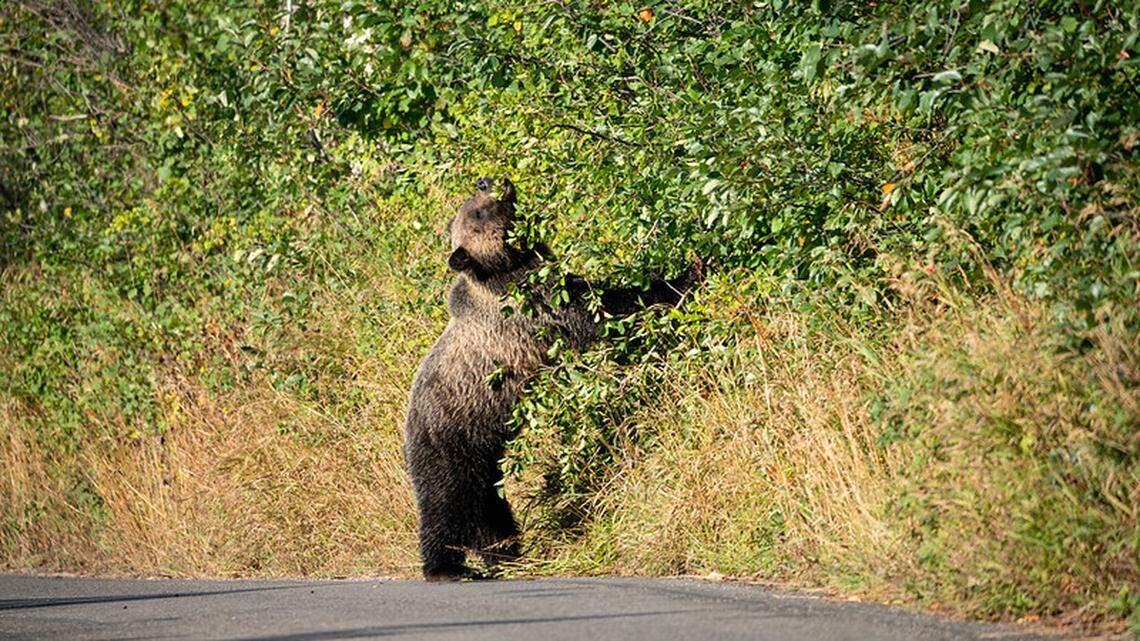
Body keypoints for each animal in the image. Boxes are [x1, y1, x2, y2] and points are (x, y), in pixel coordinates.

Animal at [403, 177, 697, 581]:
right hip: (450, 441)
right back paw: (446, 567)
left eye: (472, 200)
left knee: (491, 512)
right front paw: (685, 275)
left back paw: (508, 555)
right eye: (477, 210)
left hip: (486, 459)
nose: (489, 180)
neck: (507, 267)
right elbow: (599, 310)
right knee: (445, 505)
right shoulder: (533, 306)